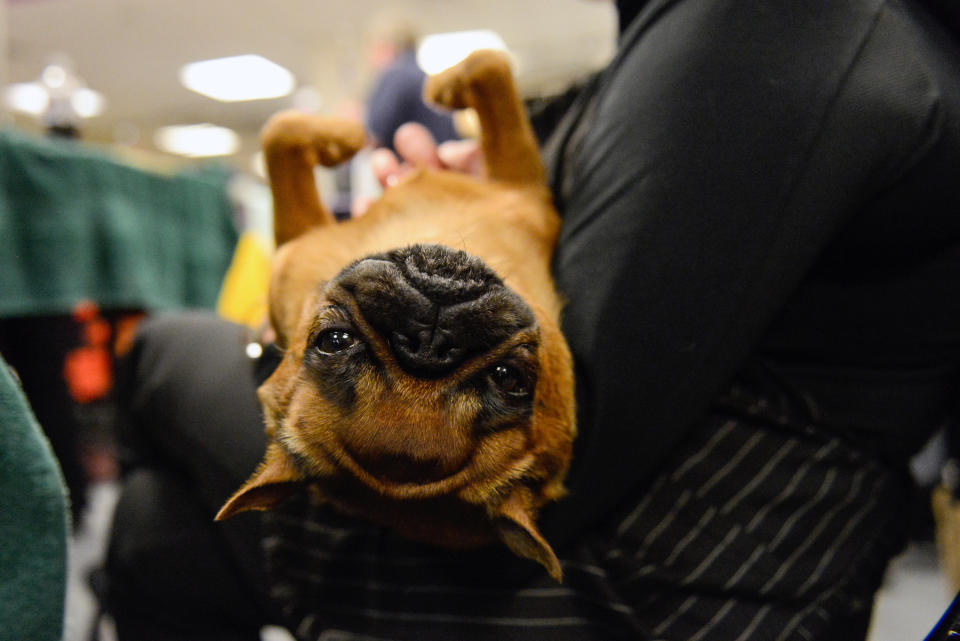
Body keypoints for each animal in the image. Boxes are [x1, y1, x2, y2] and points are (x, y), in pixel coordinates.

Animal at [217, 48, 572, 580]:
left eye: (508, 377)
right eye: (334, 341)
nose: (428, 339)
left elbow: (279, 132)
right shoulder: (519, 177)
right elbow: (491, 71)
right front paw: (345, 136)